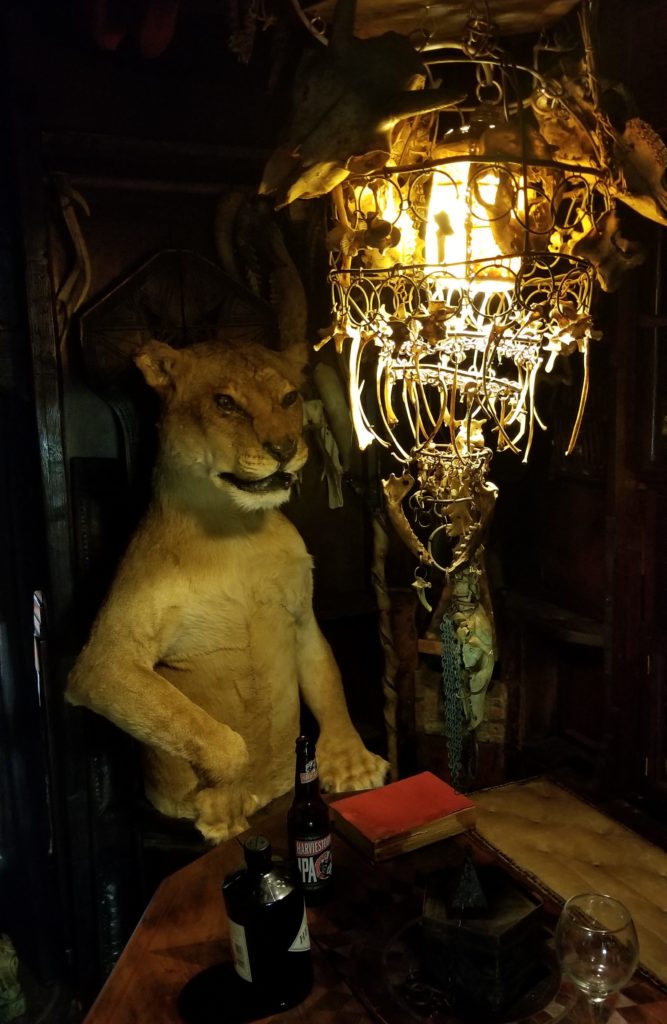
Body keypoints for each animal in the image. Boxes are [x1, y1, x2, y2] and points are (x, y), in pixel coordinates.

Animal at [65, 335, 389, 839]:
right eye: (226, 404)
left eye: (289, 398)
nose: (284, 447)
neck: (236, 529)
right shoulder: (104, 664)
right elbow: (213, 735)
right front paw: (225, 806)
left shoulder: (302, 616)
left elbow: (329, 684)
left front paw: (352, 763)